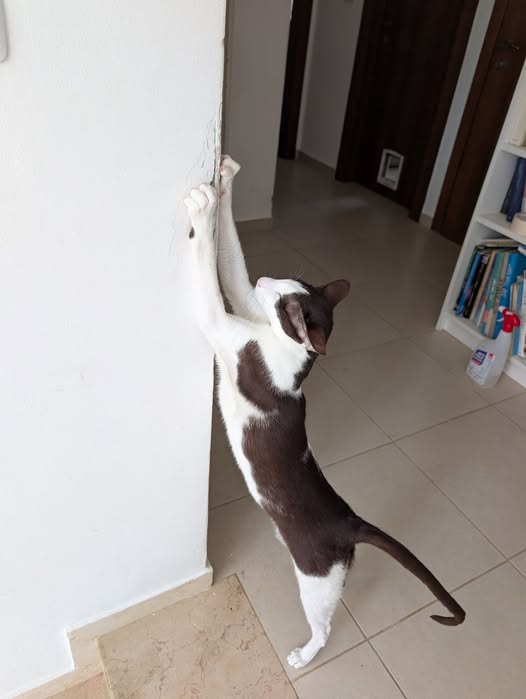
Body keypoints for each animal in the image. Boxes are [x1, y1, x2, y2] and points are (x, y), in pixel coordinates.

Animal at [183, 156, 465, 670]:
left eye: (284, 301)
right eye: (281, 285)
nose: (265, 281)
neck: (294, 357)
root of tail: (350, 520)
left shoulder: (230, 333)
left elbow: (211, 287)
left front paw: (203, 204)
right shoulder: (247, 307)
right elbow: (231, 267)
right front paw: (227, 179)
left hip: (317, 579)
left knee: (325, 624)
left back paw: (303, 654)